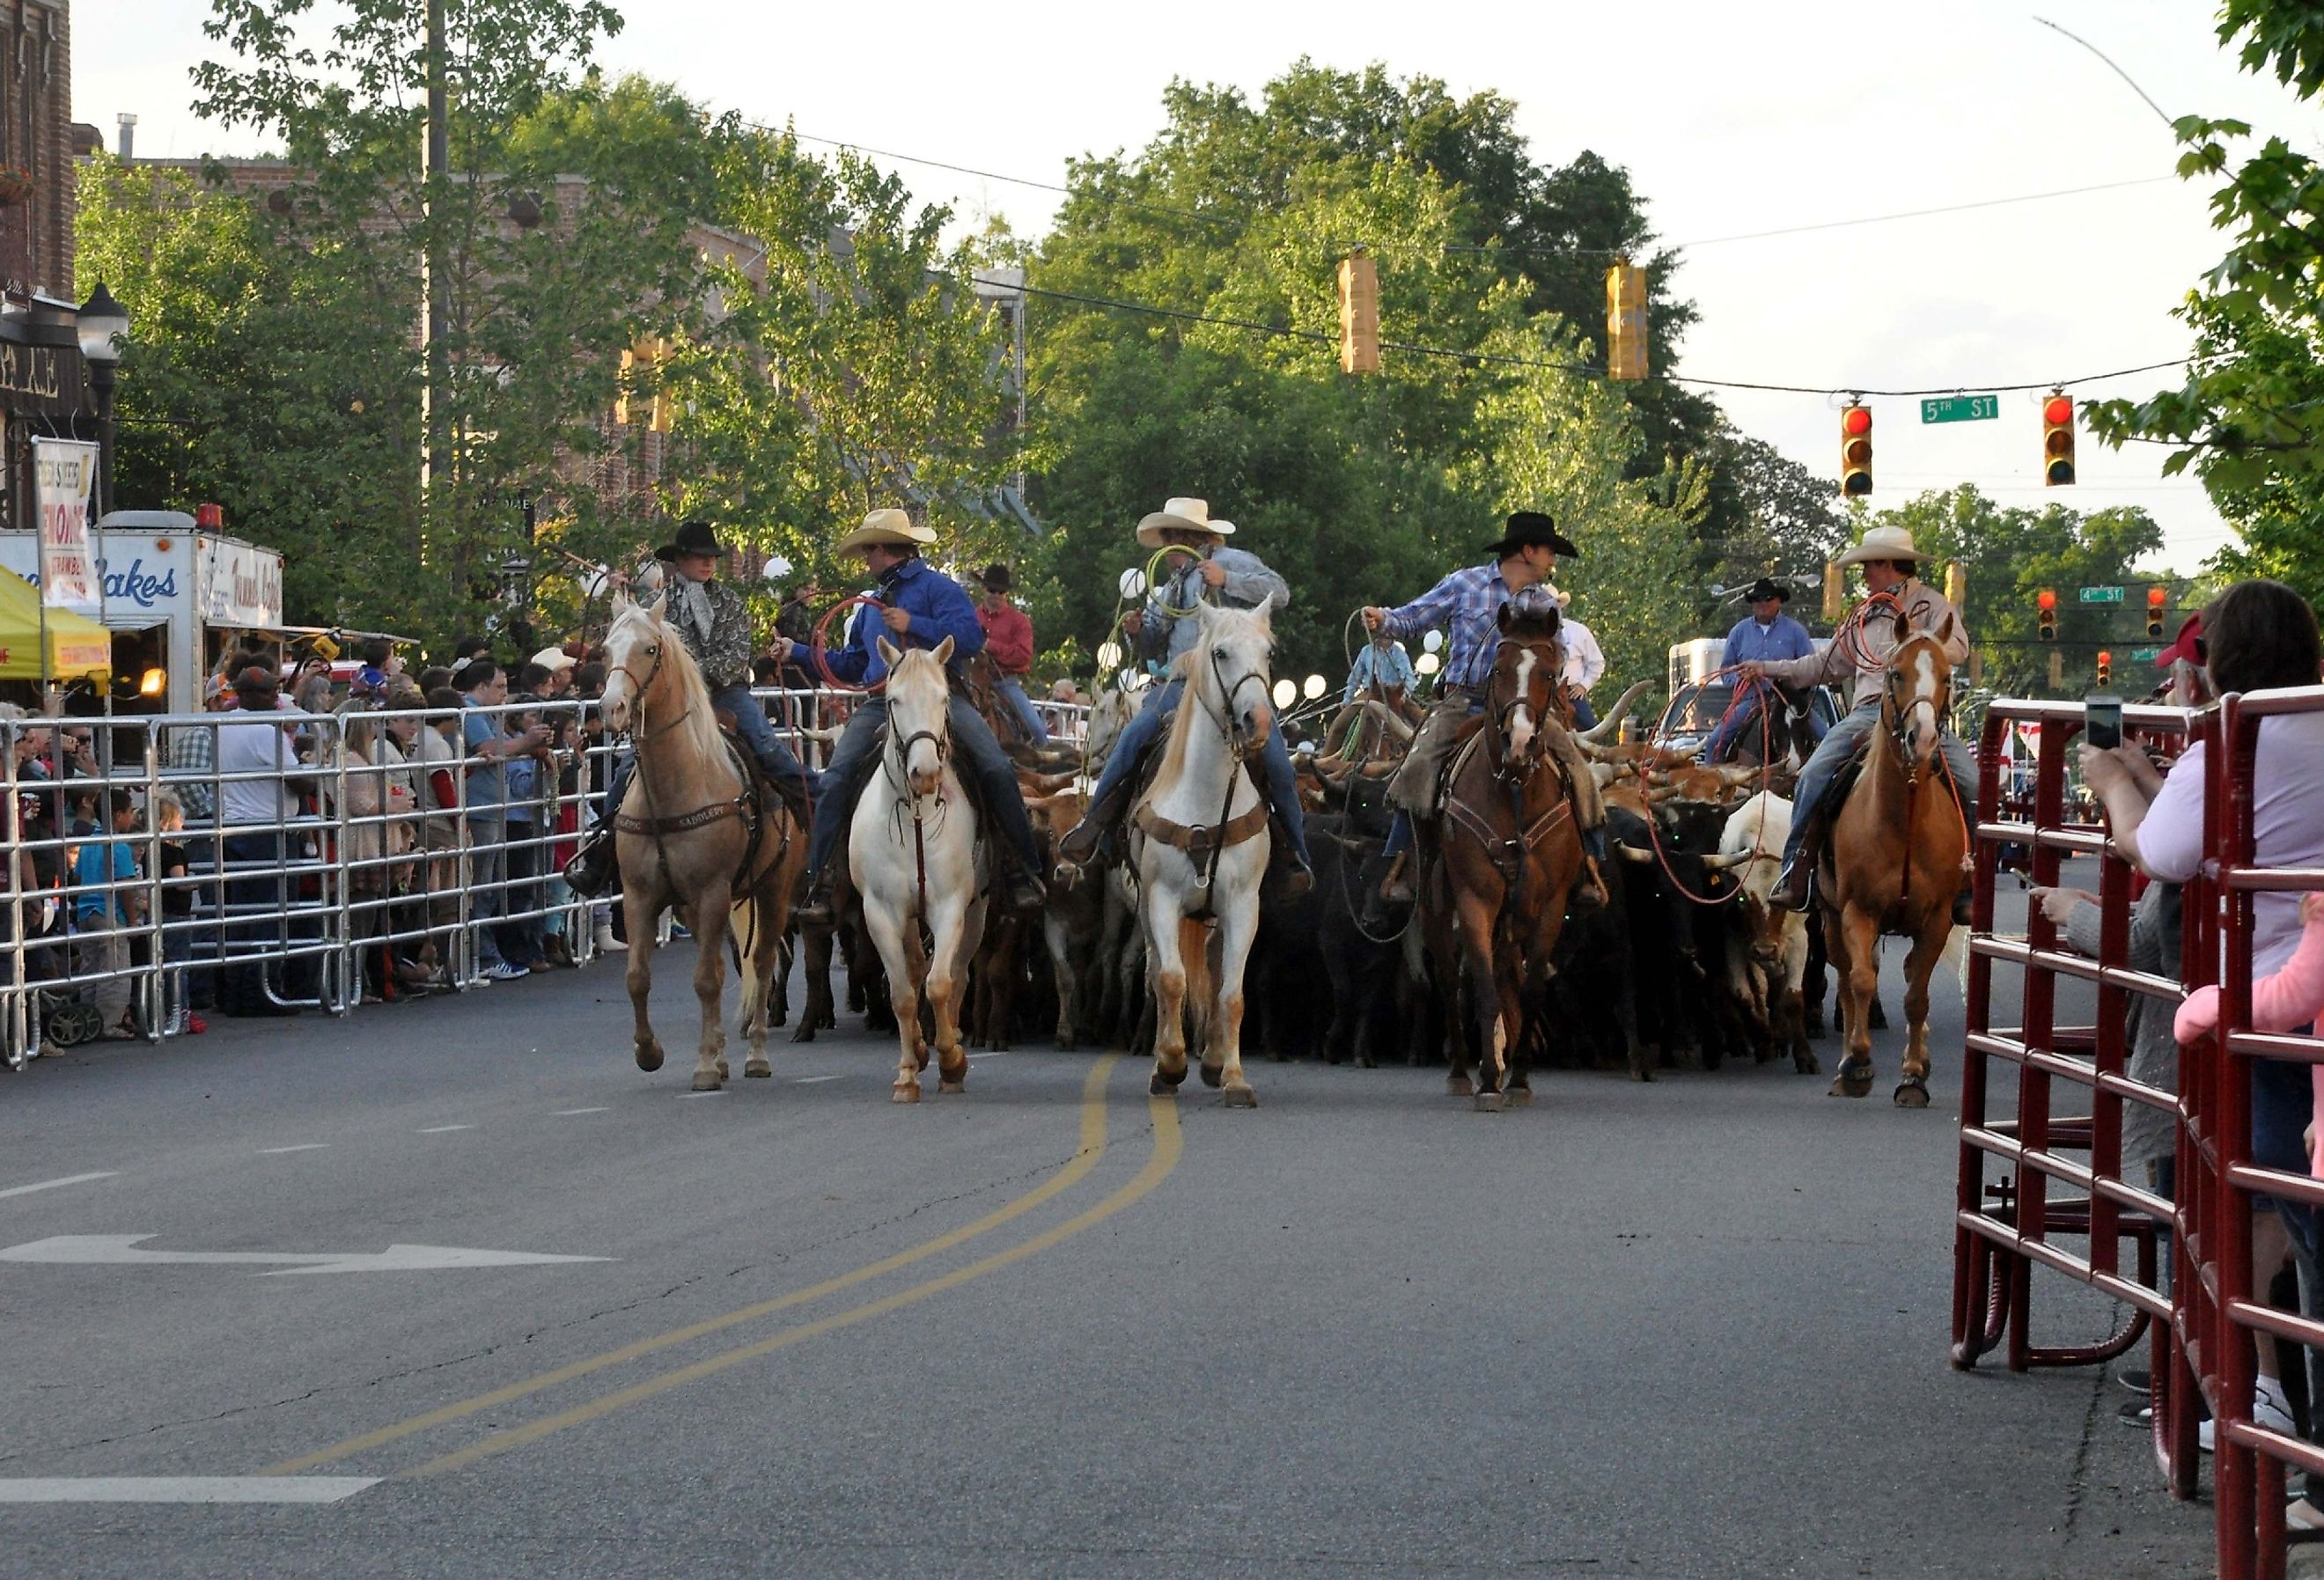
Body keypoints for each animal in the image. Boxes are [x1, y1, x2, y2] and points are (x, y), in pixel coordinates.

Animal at [594, 592, 804, 1087]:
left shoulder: (713, 892)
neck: (676, 786)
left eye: (650, 649)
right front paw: (649, 1052)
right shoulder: (640, 895)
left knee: (763, 961)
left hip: (772, 892)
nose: (612, 708)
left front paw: (706, 1066)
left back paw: (756, 1055)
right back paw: (727, 1056)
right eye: (606, 650)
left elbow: (707, 979)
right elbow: (638, 977)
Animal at [850, 636, 985, 1106]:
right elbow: (904, 994)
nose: (925, 774)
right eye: (893, 699)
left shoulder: (951, 907)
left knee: (959, 975)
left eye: (944, 699)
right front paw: (908, 1072)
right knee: (912, 968)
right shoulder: (880, 912)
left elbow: (940, 983)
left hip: (978, 912)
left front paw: (952, 1061)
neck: (918, 817)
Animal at [1124, 604, 1273, 1110]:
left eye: (1268, 652)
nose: (1258, 721)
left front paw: (1234, 1077)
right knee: (1157, 972)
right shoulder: (1161, 900)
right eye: (1221, 653)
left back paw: (1211, 1060)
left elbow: (1232, 994)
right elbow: (1170, 979)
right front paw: (1169, 1065)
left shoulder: (1243, 906)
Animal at [1413, 599, 1599, 1110]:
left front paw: (1519, 1079)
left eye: (1551, 673)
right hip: (1435, 902)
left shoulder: (1550, 905)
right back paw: (1462, 1071)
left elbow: (1530, 988)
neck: (1515, 789)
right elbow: (1482, 984)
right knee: (1450, 977)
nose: (1519, 742)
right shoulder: (1476, 897)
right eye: (1498, 668)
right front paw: (1491, 1080)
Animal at [1813, 608, 1961, 1106]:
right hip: (1829, 916)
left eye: (1948, 677)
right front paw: (1856, 1064)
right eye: (1896, 673)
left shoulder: (1937, 919)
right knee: (1845, 980)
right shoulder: (1857, 912)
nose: (1923, 738)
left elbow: (1917, 995)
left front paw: (1914, 1076)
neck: (1905, 824)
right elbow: (1860, 982)